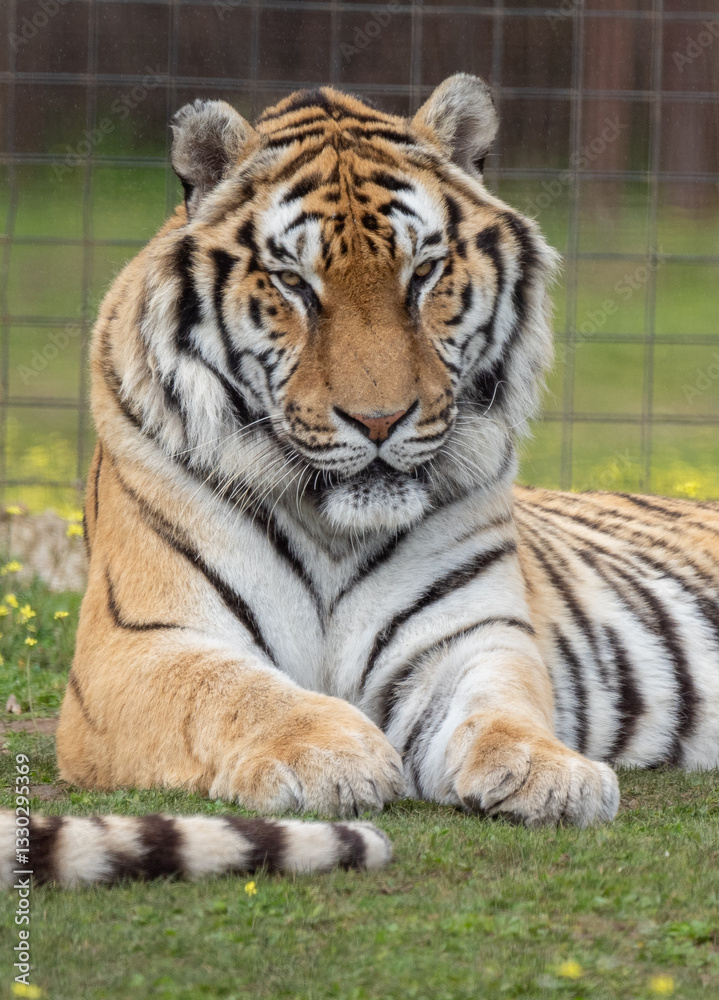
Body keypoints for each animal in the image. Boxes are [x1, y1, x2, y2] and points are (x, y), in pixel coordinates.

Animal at [4, 74, 718, 888]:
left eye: (424, 274)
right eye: (294, 284)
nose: (379, 421)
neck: (333, 526)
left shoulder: (467, 635)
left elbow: (501, 705)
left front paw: (550, 773)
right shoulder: (140, 643)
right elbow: (233, 691)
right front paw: (330, 754)